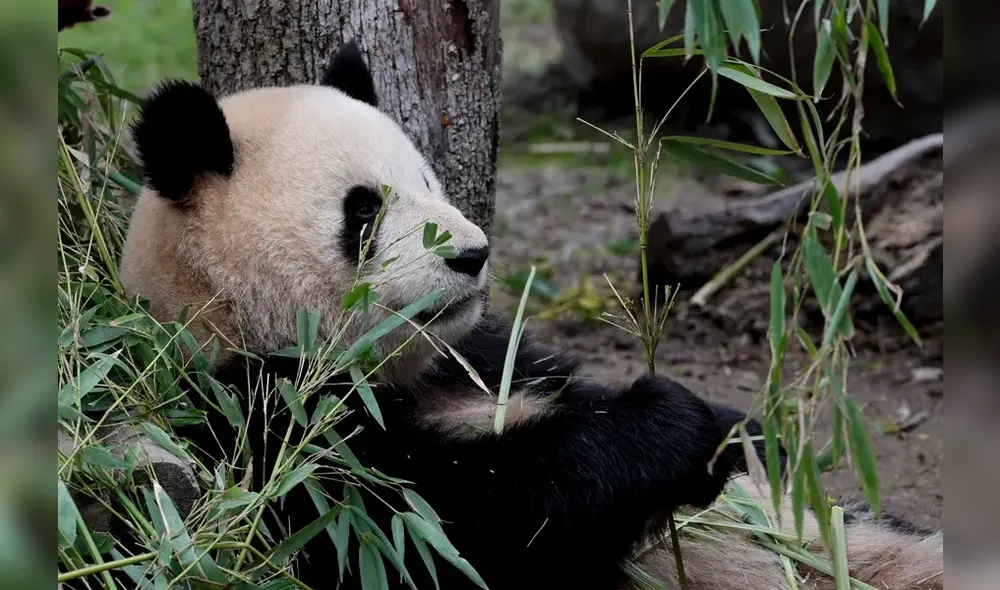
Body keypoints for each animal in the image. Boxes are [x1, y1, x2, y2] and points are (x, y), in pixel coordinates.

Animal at [119, 42, 943, 590]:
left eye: (428, 180)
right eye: (364, 212)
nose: (472, 254)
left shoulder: (488, 357)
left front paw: (737, 427)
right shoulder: (268, 427)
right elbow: (458, 527)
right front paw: (673, 424)